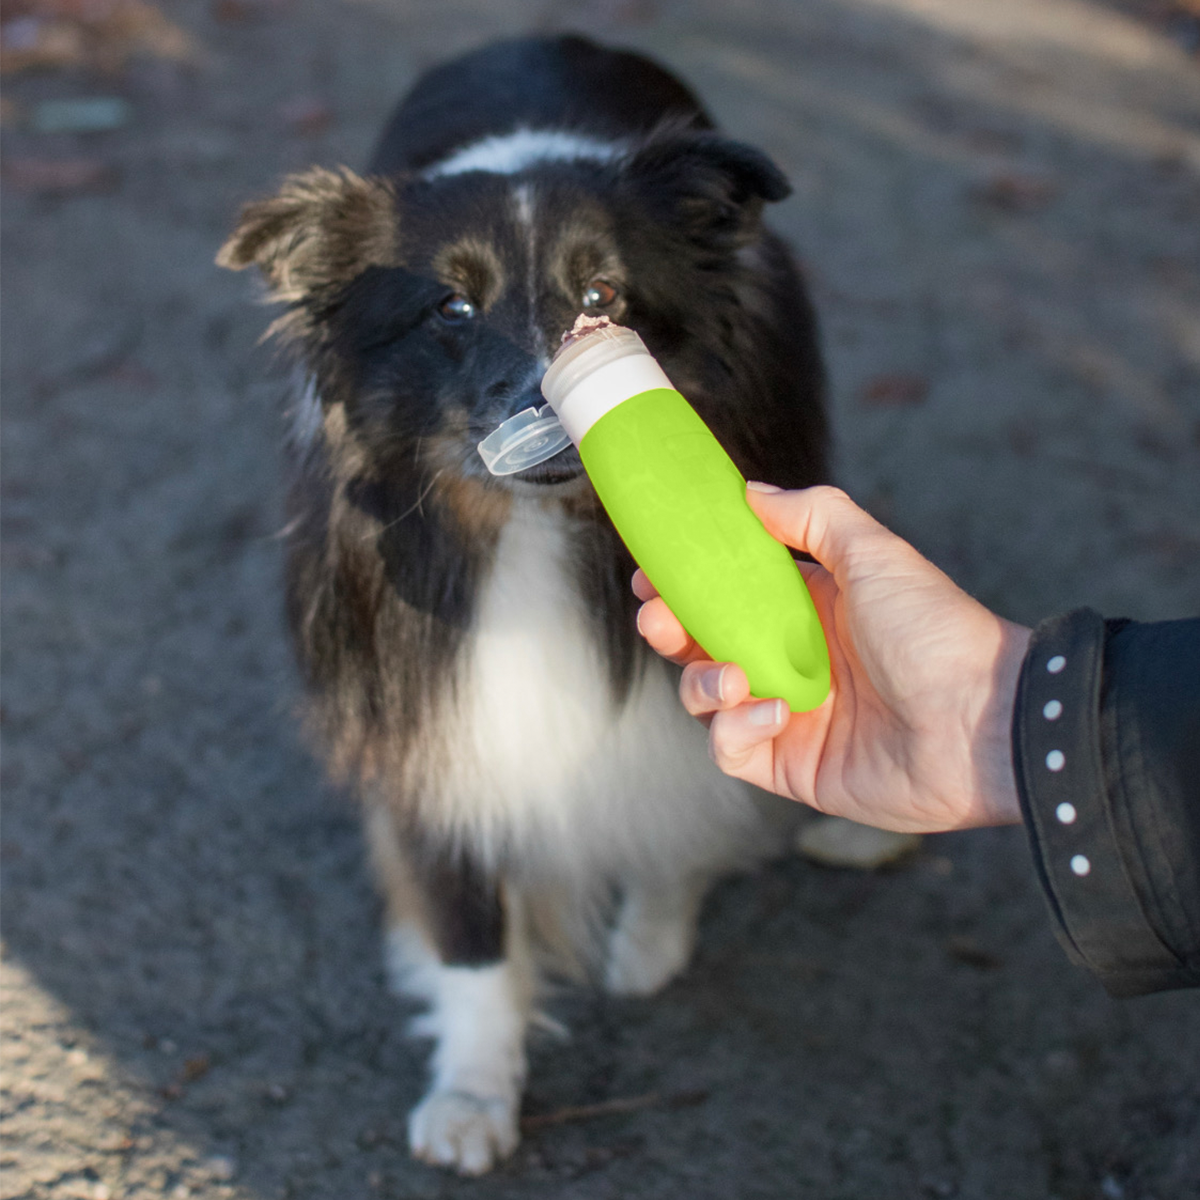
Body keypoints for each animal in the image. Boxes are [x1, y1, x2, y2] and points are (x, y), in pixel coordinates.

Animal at [218, 32, 825, 1176]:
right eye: (449, 309)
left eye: (605, 294)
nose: (551, 407)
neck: (532, 527)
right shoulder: (427, 727)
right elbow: (469, 939)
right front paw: (471, 1097)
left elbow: (677, 786)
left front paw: (652, 935)